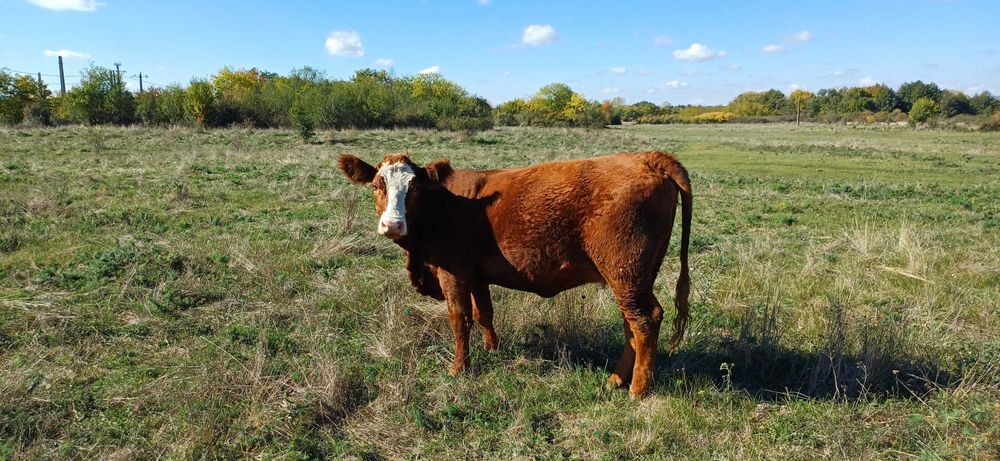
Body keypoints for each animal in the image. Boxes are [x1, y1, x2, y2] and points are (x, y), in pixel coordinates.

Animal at [337, 151, 691, 398]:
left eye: (414, 190)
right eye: (376, 186)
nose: (392, 225)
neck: (444, 205)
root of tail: (648, 157)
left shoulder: (453, 273)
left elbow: (459, 318)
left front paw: (459, 368)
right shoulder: (477, 275)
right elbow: (483, 313)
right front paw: (493, 350)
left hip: (625, 273)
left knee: (644, 320)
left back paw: (637, 390)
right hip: (632, 277)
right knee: (631, 323)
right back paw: (617, 379)